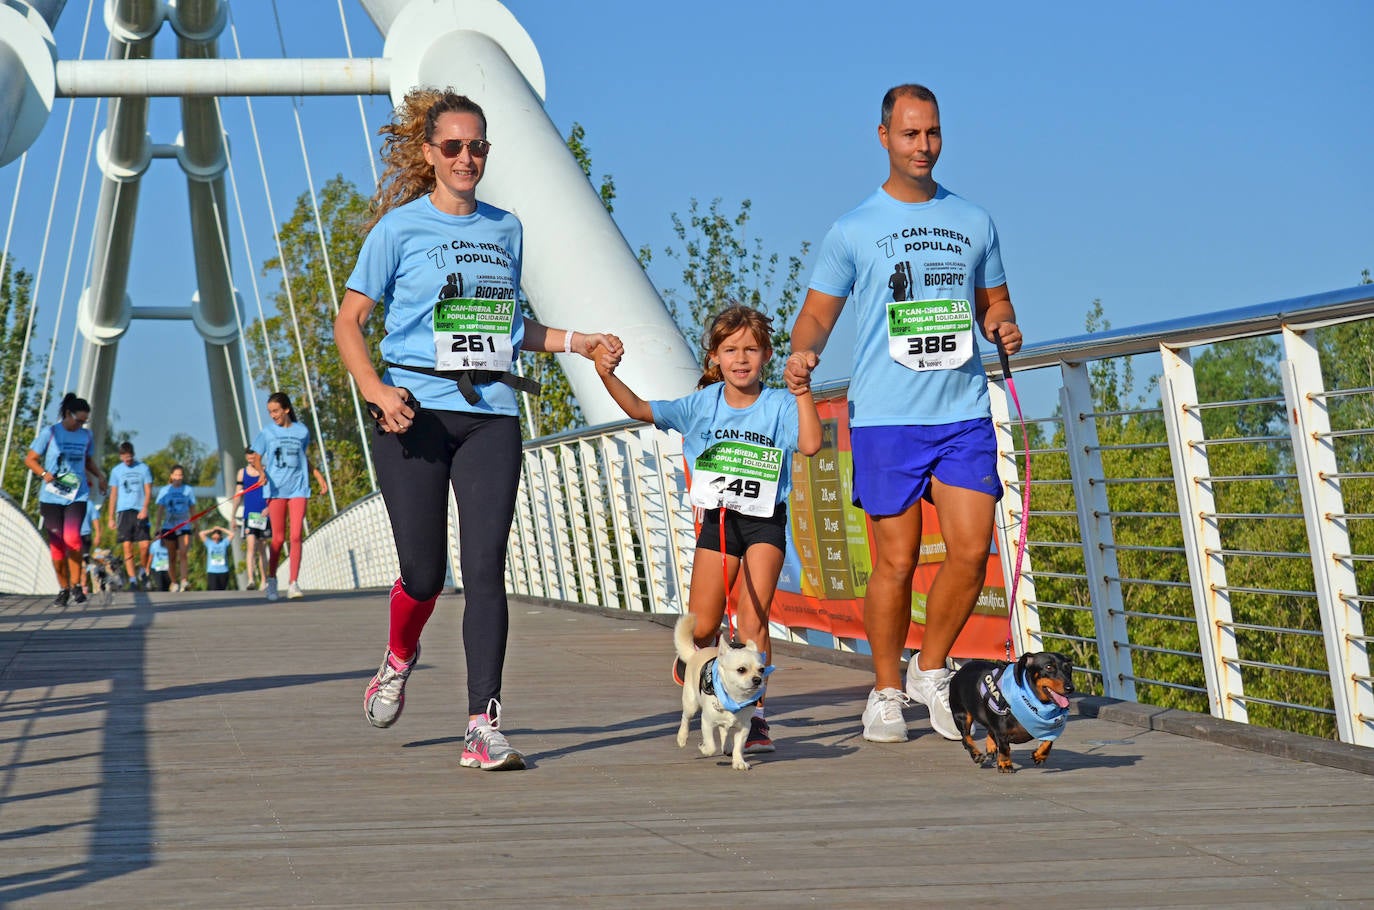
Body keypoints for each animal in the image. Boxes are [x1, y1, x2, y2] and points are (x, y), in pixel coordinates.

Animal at [676, 615, 774, 775]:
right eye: (741, 670)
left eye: (762, 670)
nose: (757, 679)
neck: (735, 699)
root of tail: (695, 653)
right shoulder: (707, 722)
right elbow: (711, 746)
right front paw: (703, 748)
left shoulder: (744, 727)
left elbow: (738, 747)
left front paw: (739, 762)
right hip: (691, 703)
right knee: (686, 718)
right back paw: (682, 737)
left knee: (724, 730)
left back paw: (727, 746)